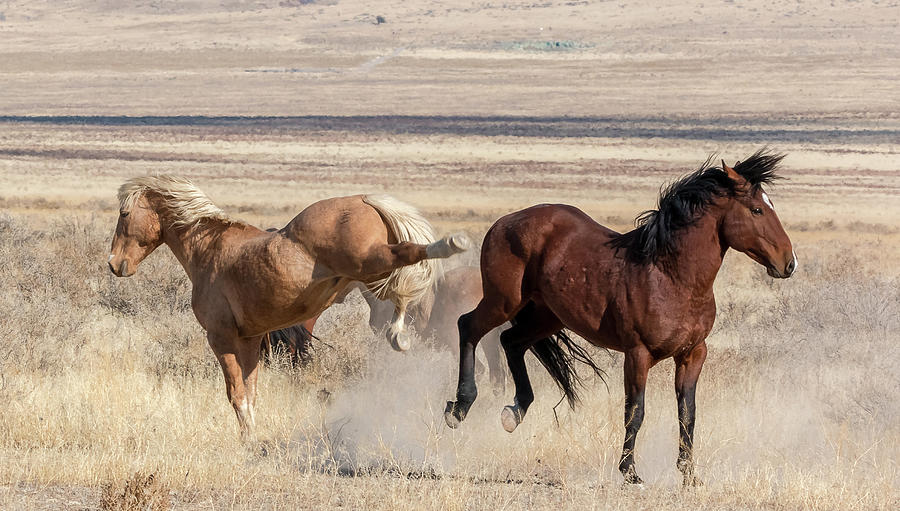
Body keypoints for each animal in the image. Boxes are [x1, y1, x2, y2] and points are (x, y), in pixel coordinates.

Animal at [108, 175, 468, 440]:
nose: (115, 264)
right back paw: (399, 335)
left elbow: (236, 393)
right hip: (369, 273)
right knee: (399, 288)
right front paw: (252, 436)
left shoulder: (221, 338)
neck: (208, 250)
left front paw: (248, 440)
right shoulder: (251, 340)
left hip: (368, 262)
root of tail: (364, 200)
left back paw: (453, 244)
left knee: (409, 255)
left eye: (124, 214)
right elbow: (251, 393)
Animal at [442, 149, 796, 488]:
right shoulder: (638, 354)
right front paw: (630, 472)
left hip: (548, 316)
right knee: (468, 327)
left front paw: (689, 475)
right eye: (757, 210)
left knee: (510, 342)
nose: (788, 263)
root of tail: (503, 222)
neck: (670, 277)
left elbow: (688, 414)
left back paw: (514, 412)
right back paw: (459, 408)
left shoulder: (693, 354)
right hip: (504, 301)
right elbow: (635, 412)